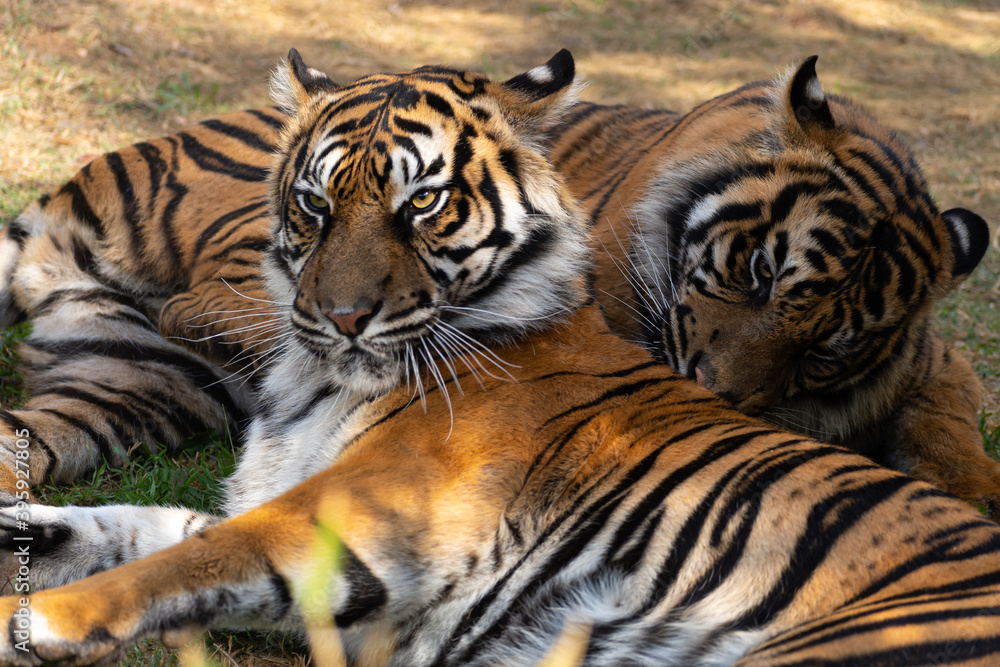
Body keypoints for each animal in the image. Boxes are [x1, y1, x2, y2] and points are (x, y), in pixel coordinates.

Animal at [544, 56, 999, 515]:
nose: (709, 389)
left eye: (822, 352)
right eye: (763, 271)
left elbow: (945, 422)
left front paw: (982, 491)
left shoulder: (938, 365)